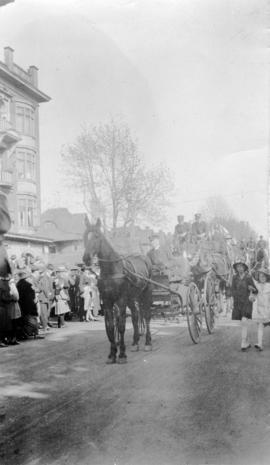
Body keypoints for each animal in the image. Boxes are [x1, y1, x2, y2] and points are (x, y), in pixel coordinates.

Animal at [82, 218, 153, 362]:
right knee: (136, 316)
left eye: (97, 236)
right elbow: (110, 326)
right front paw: (112, 353)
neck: (111, 269)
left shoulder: (120, 300)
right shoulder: (107, 301)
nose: (86, 258)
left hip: (145, 293)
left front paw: (122, 354)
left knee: (146, 315)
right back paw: (135, 342)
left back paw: (148, 342)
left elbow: (121, 325)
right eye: (86, 236)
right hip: (132, 298)